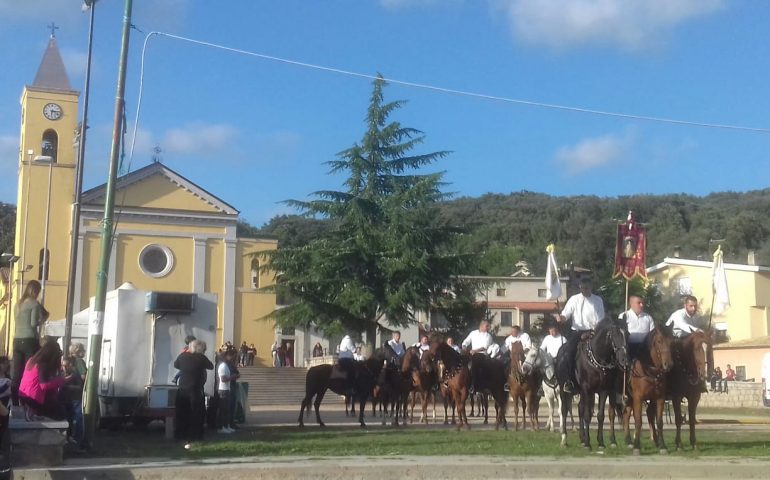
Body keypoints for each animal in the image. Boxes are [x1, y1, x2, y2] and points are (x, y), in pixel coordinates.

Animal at [556, 318, 628, 450]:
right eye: (615, 334)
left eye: (627, 334)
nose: (624, 360)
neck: (598, 359)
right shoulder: (586, 389)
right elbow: (587, 415)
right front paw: (588, 444)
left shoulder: (603, 390)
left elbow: (600, 416)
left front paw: (600, 442)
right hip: (564, 389)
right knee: (564, 410)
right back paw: (564, 439)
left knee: (579, 408)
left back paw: (582, 438)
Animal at [616, 328, 672, 456]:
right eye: (659, 341)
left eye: (672, 340)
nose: (668, 364)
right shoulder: (638, 398)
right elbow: (638, 421)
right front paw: (637, 447)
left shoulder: (659, 398)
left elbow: (659, 421)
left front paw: (662, 446)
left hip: (630, 399)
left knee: (626, 415)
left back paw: (628, 441)